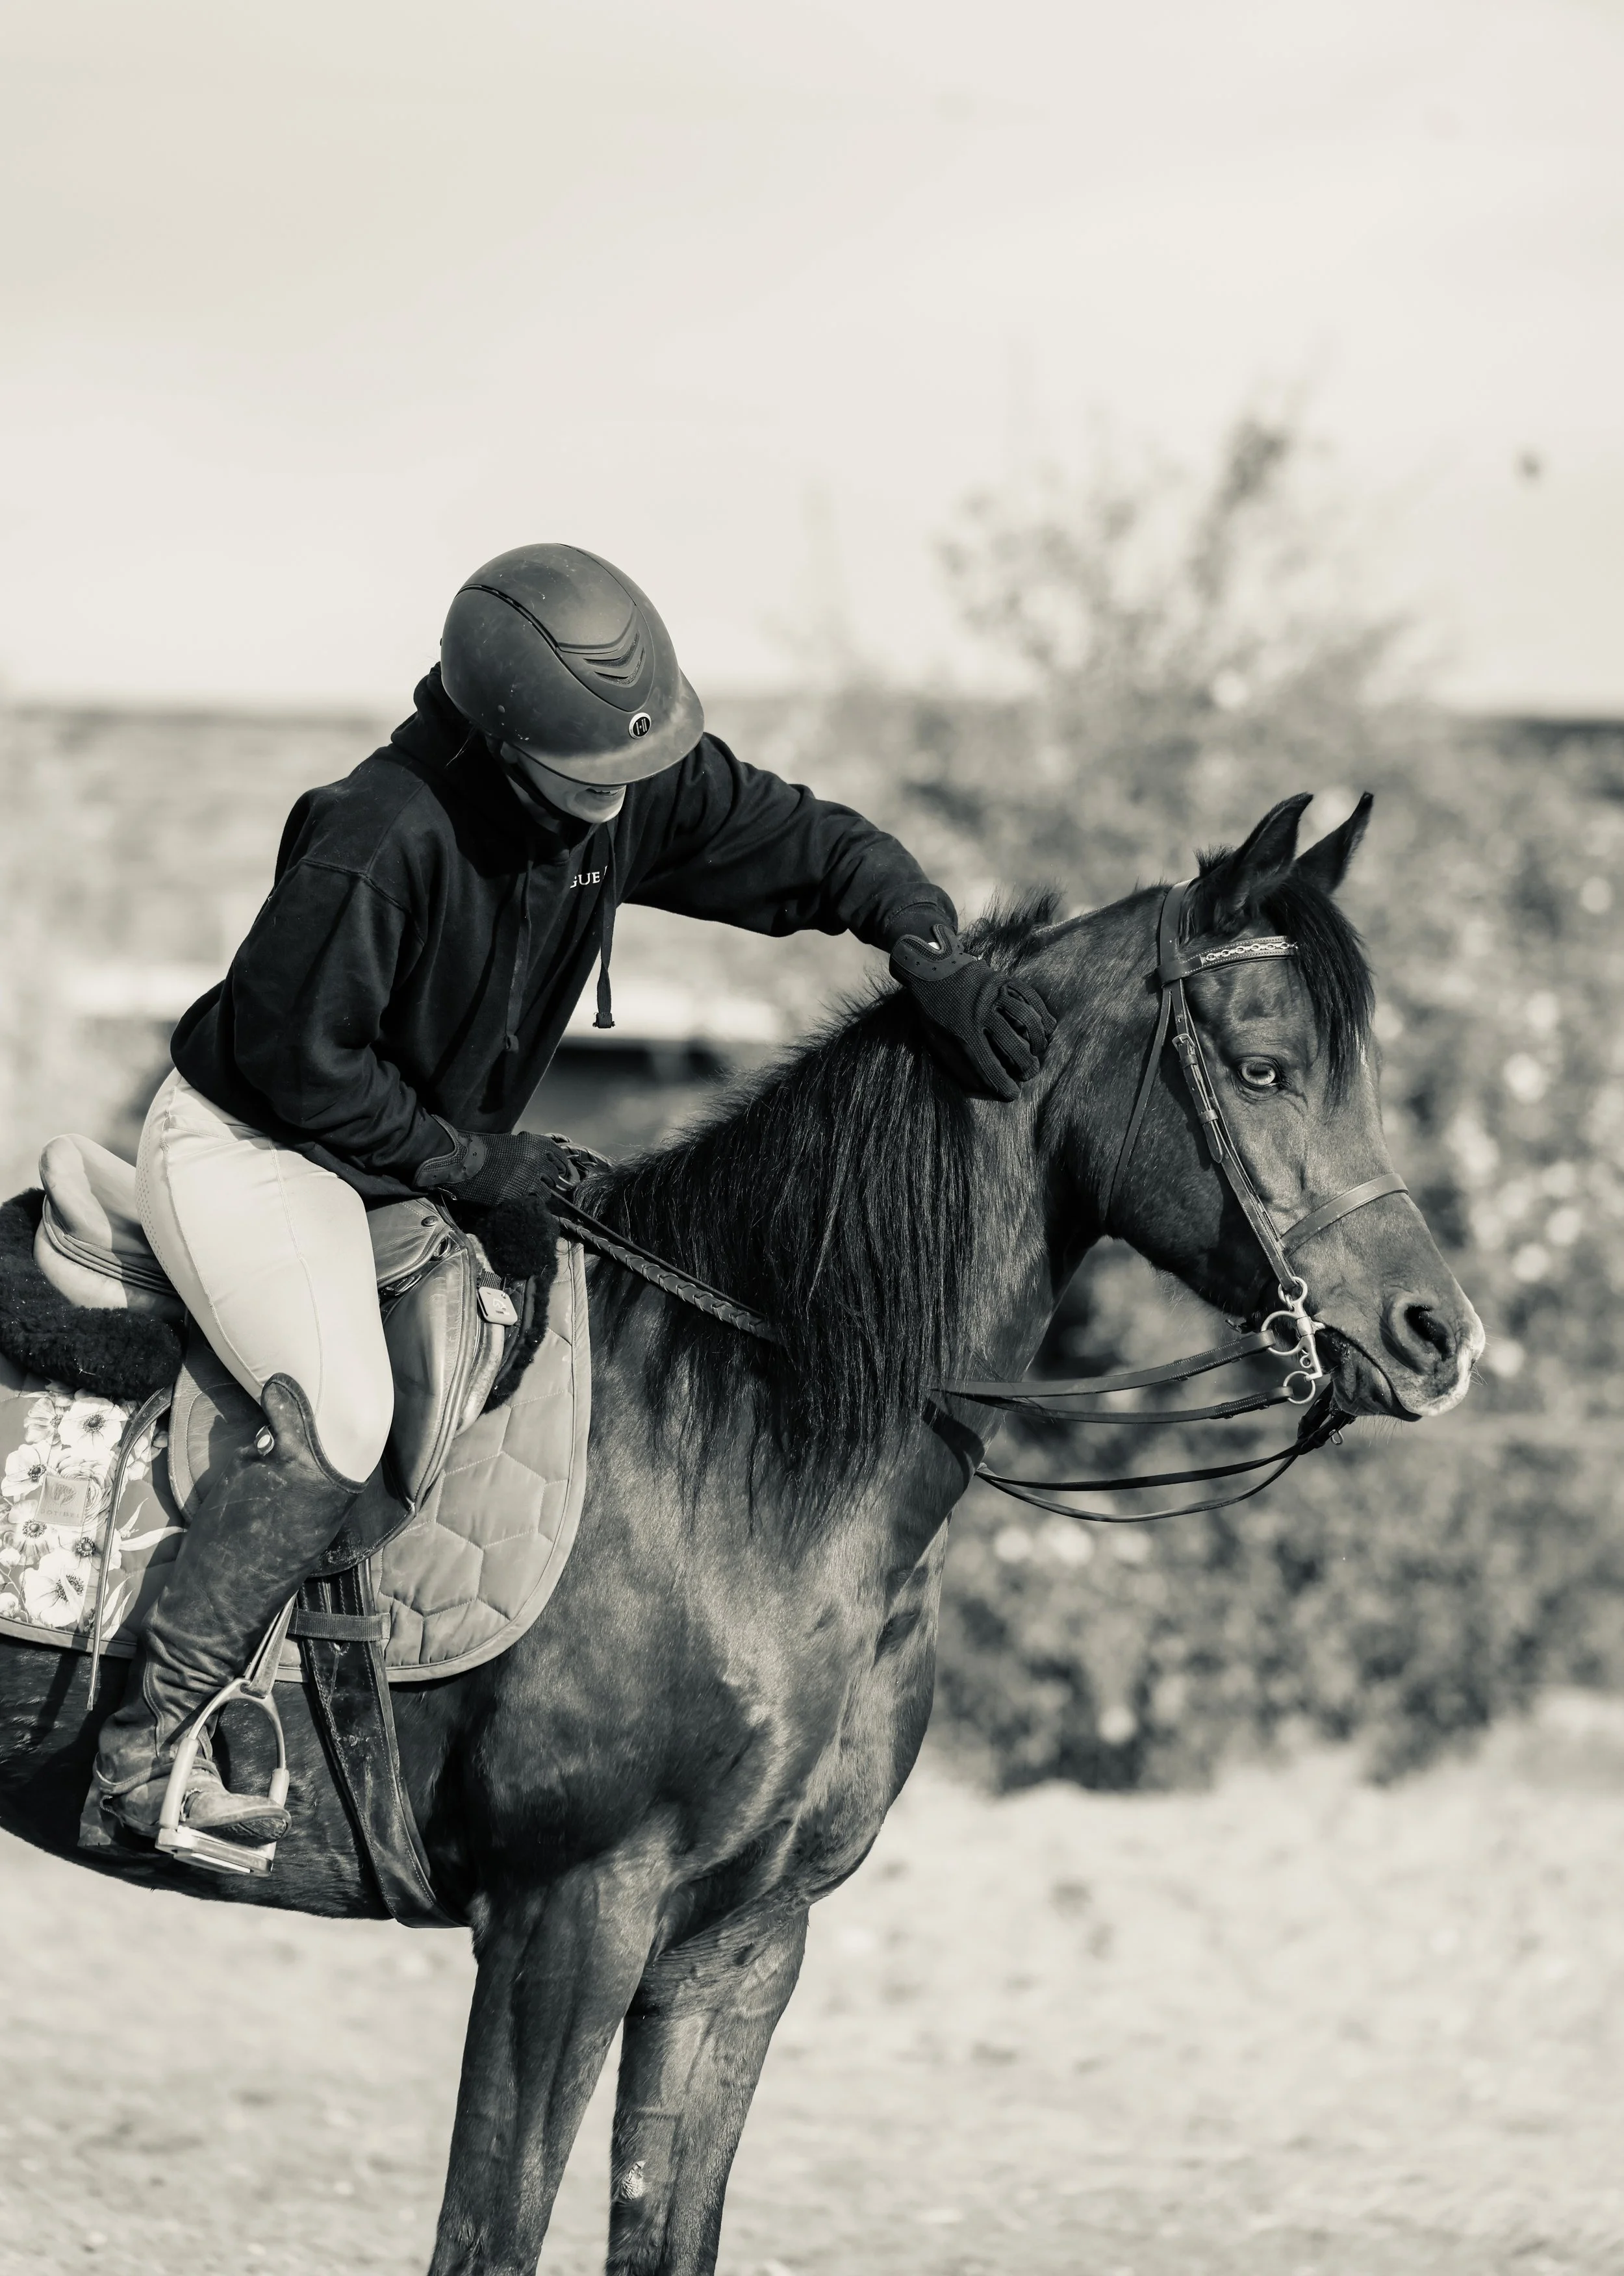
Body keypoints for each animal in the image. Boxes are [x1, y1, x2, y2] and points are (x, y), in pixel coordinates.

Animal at [0, 793, 1482, 2275]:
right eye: (1262, 1070)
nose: (1436, 1336)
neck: (739, 1433)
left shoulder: (742, 1947)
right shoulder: (567, 1920)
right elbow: (491, 2234)